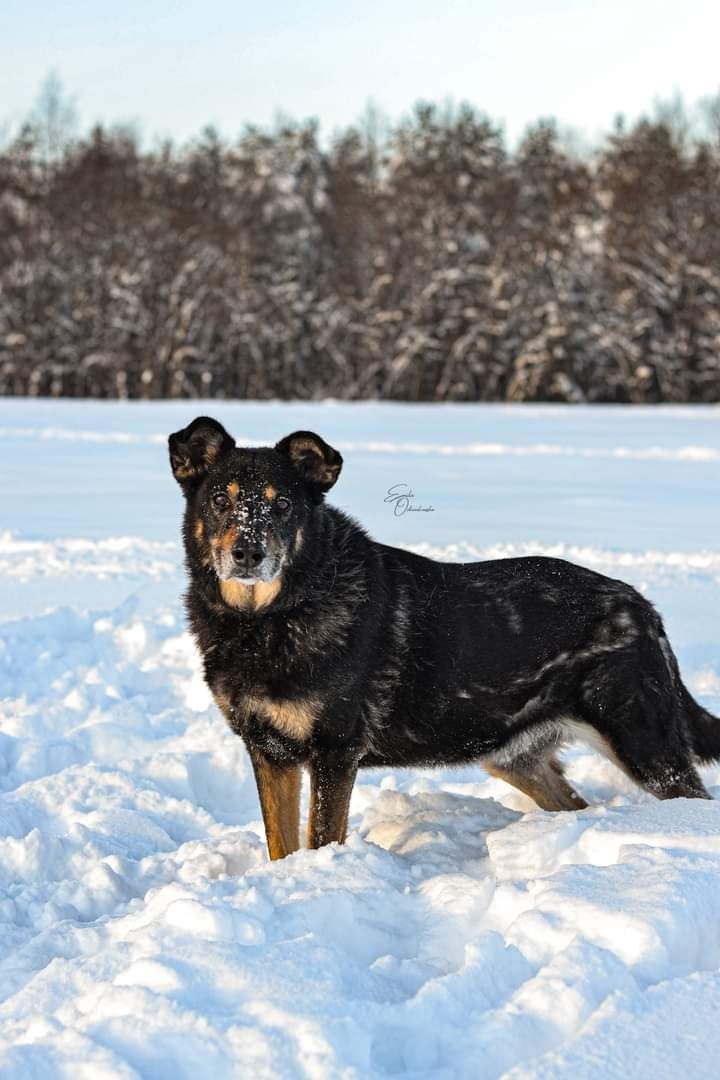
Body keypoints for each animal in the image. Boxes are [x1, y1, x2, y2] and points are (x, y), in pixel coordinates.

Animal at [170, 414, 720, 859]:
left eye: (282, 504)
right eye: (220, 500)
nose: (248, 553)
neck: (267, 618)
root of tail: (644, 610)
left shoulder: (335, 751)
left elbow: (319, 839)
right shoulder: (270, 751)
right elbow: (279, 845)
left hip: (645, 746)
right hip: (515, 757)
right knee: (572, 802)